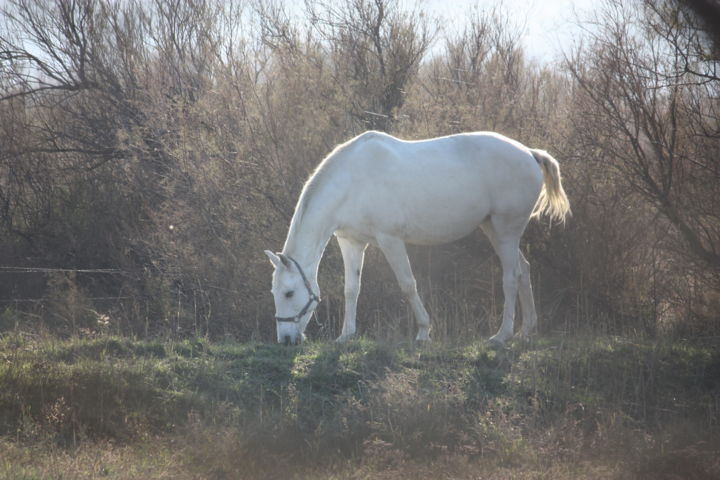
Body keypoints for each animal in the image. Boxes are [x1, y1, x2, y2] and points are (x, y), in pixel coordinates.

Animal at [264, 130, 568, 344]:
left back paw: (502, 335)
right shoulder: (351, 242)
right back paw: (526, 330)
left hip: (506, 230)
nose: (286, 340)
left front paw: (423, 331)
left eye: (289, 292)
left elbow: (408, 284)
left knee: (510, 277)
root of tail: (530, 153)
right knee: (523, 270)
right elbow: (351, 289)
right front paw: (345, 336)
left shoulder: (390, 240)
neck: (352, 181)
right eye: (275, 293)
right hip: (494, 228)